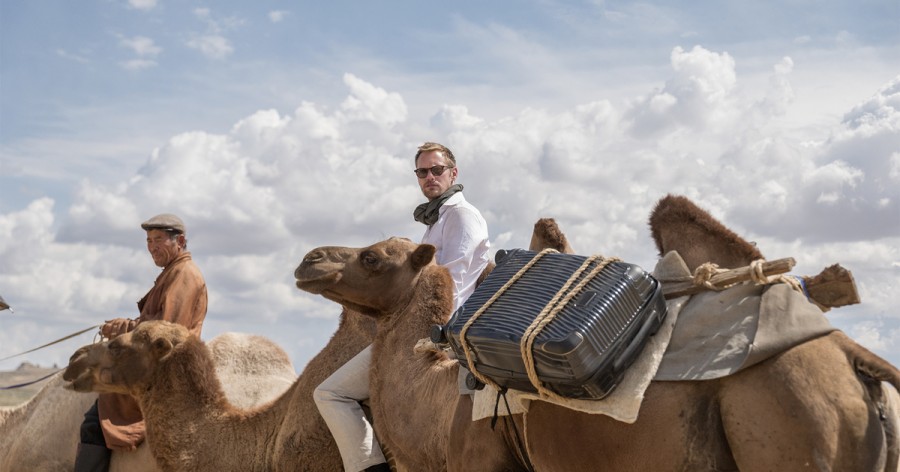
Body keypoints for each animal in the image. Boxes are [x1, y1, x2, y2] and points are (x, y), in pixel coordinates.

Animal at [293, 206, 900, 471]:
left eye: (374, 257)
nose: (309, 260)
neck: (437, 402)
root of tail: (853, 357)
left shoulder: (481, 457)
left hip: (796, 423)